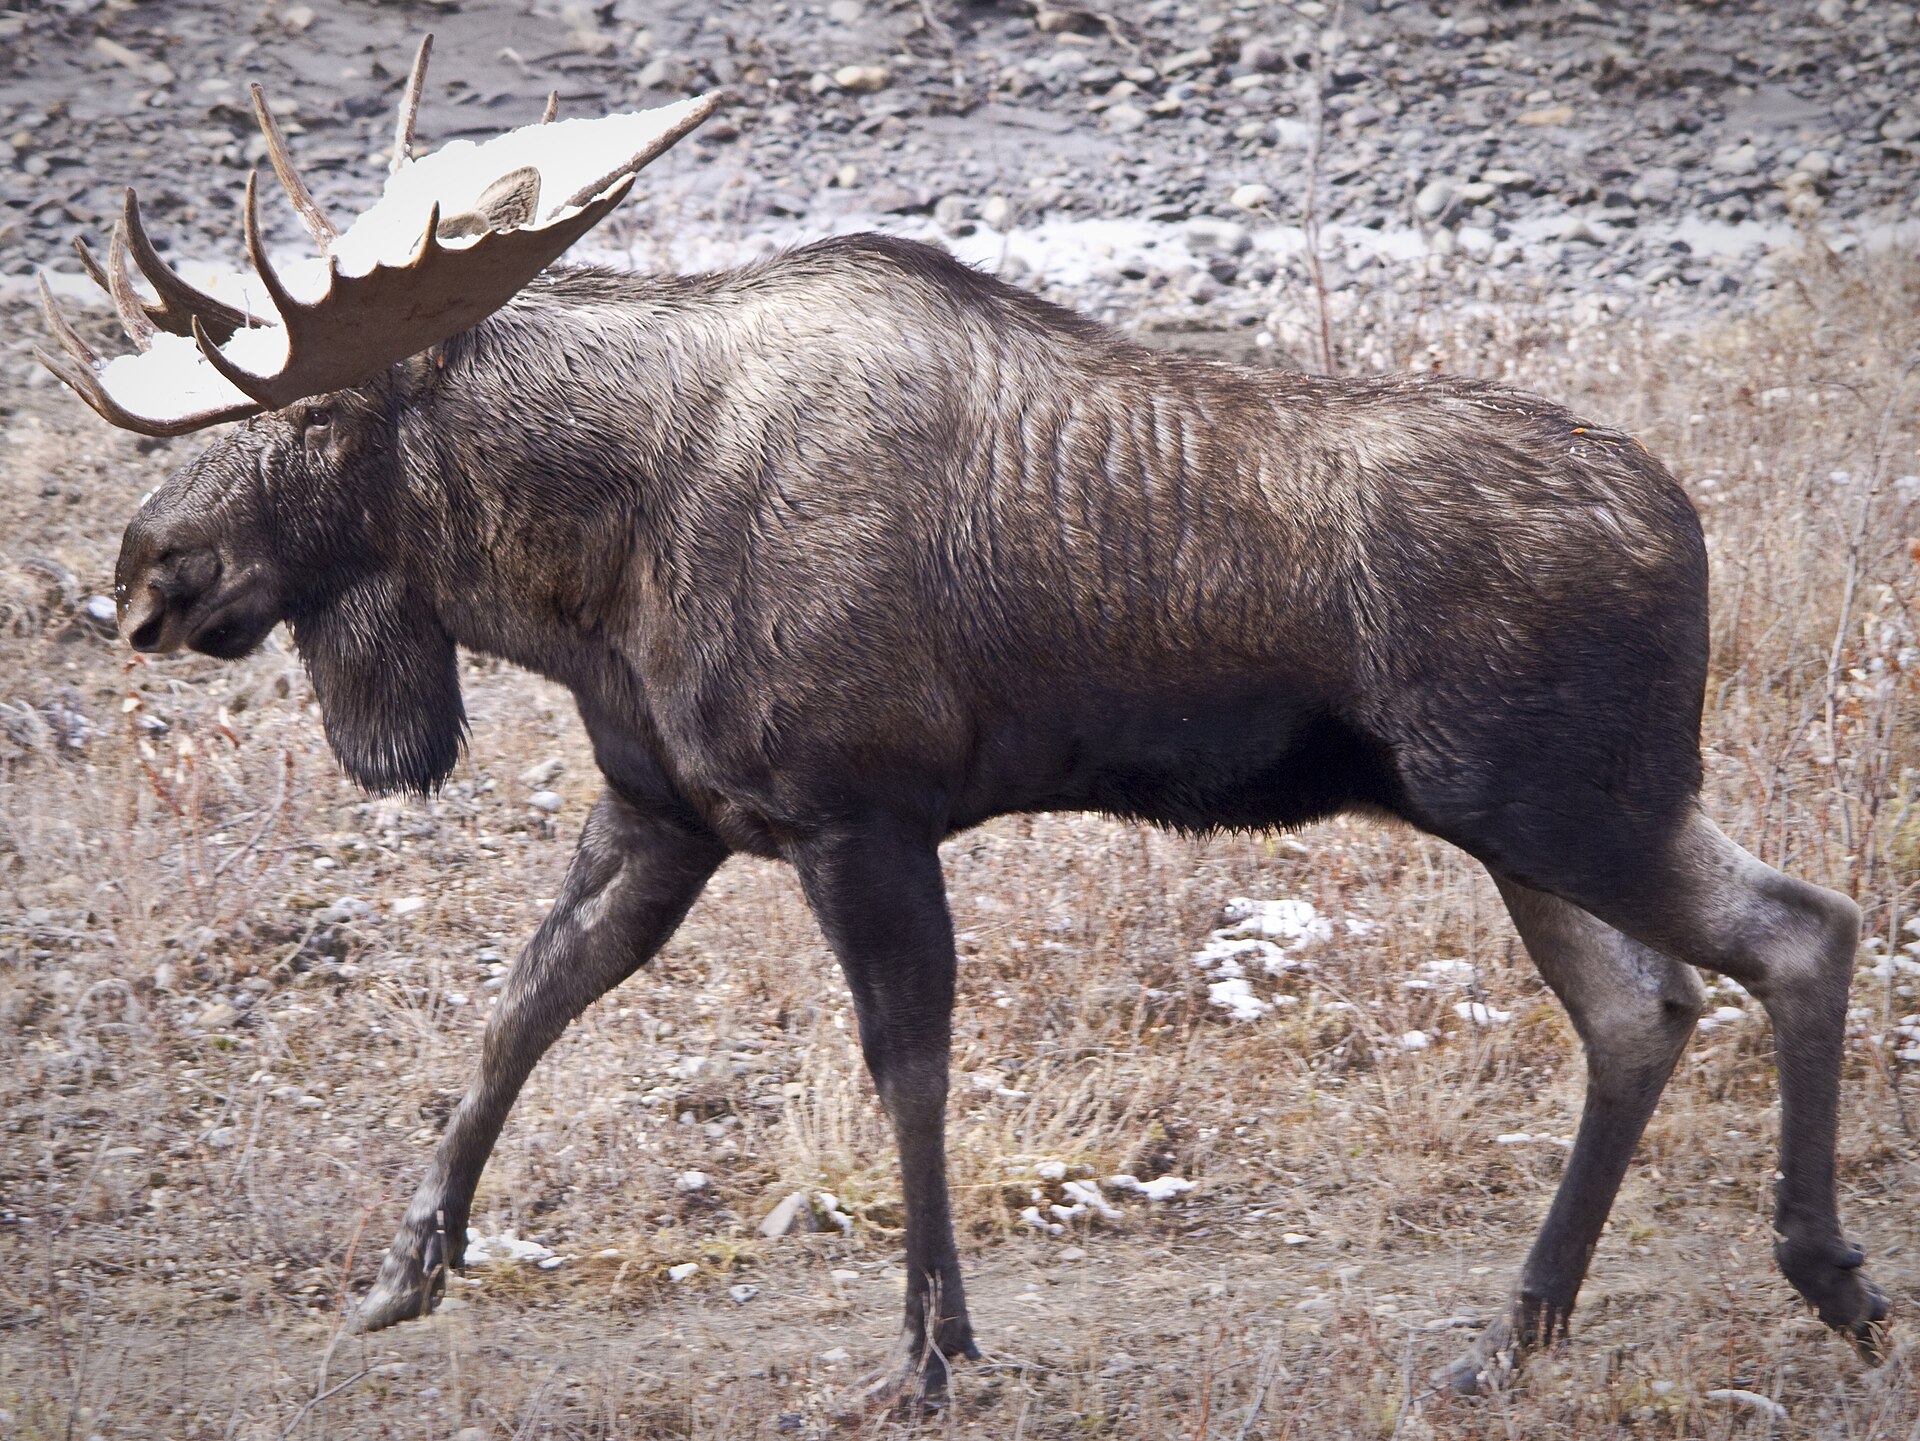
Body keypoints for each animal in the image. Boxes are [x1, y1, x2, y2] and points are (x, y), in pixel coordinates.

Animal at [35, 37, 1888, 1404]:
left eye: (307, 417)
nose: (145, 576)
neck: (582, 567)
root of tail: (1690, 525)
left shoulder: (857, 808)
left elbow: (905, 1067)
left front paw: (932, 1351)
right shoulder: (664, 810)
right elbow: (519, 1005)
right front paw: (400, 1270)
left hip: (1571, 796)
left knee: (1800, 929)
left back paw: (1827, 1276)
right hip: (1512, 820)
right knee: (1643, 1011)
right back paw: (1516, 1335)